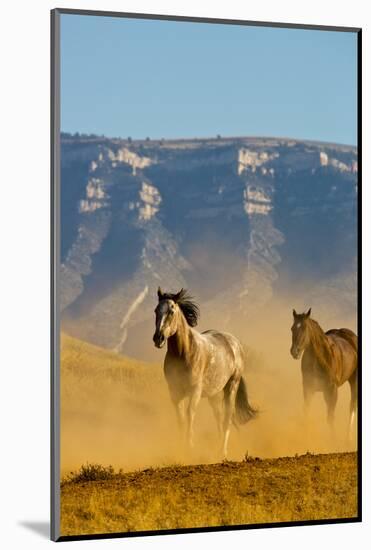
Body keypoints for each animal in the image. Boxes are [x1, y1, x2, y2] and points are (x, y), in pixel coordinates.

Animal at [153, 286, 258, 460]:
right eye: (156, 310)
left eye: (171, 311)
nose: (158, 338)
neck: (184, 353)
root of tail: (235, 343)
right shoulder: (175, 392)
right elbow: (180, 418)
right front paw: (180, 450)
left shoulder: (194, 391)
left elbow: (190, 415)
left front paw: (190, 447)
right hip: (213, 395)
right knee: (219, 417)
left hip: (231, 386)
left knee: (227, 417)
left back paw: (222, 452)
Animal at [290, 308, 358, 438]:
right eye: (292, 328)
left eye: (305, 328)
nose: (294, 351)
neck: (320, 359)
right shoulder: (308, 388)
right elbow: (306, 413)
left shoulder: (331, 390)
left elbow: (330, 417)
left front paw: (333, 439)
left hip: (354, 381)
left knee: (352, 406)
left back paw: (348, 438)